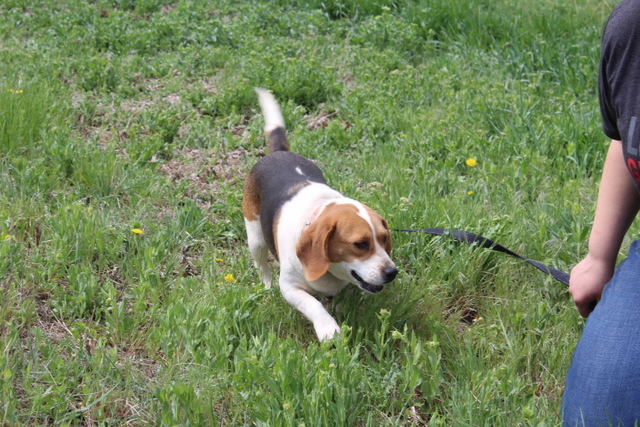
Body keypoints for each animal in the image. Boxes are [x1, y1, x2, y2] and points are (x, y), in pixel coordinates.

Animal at [242, 89, 398, 342]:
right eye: (361, 244)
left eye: (385, 239)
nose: (392, 272)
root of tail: (280, 152)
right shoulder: (290, 287)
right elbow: (313, 304)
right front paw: (328, 328)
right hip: (255, 237)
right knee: (262, 266)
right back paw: (265, 286)